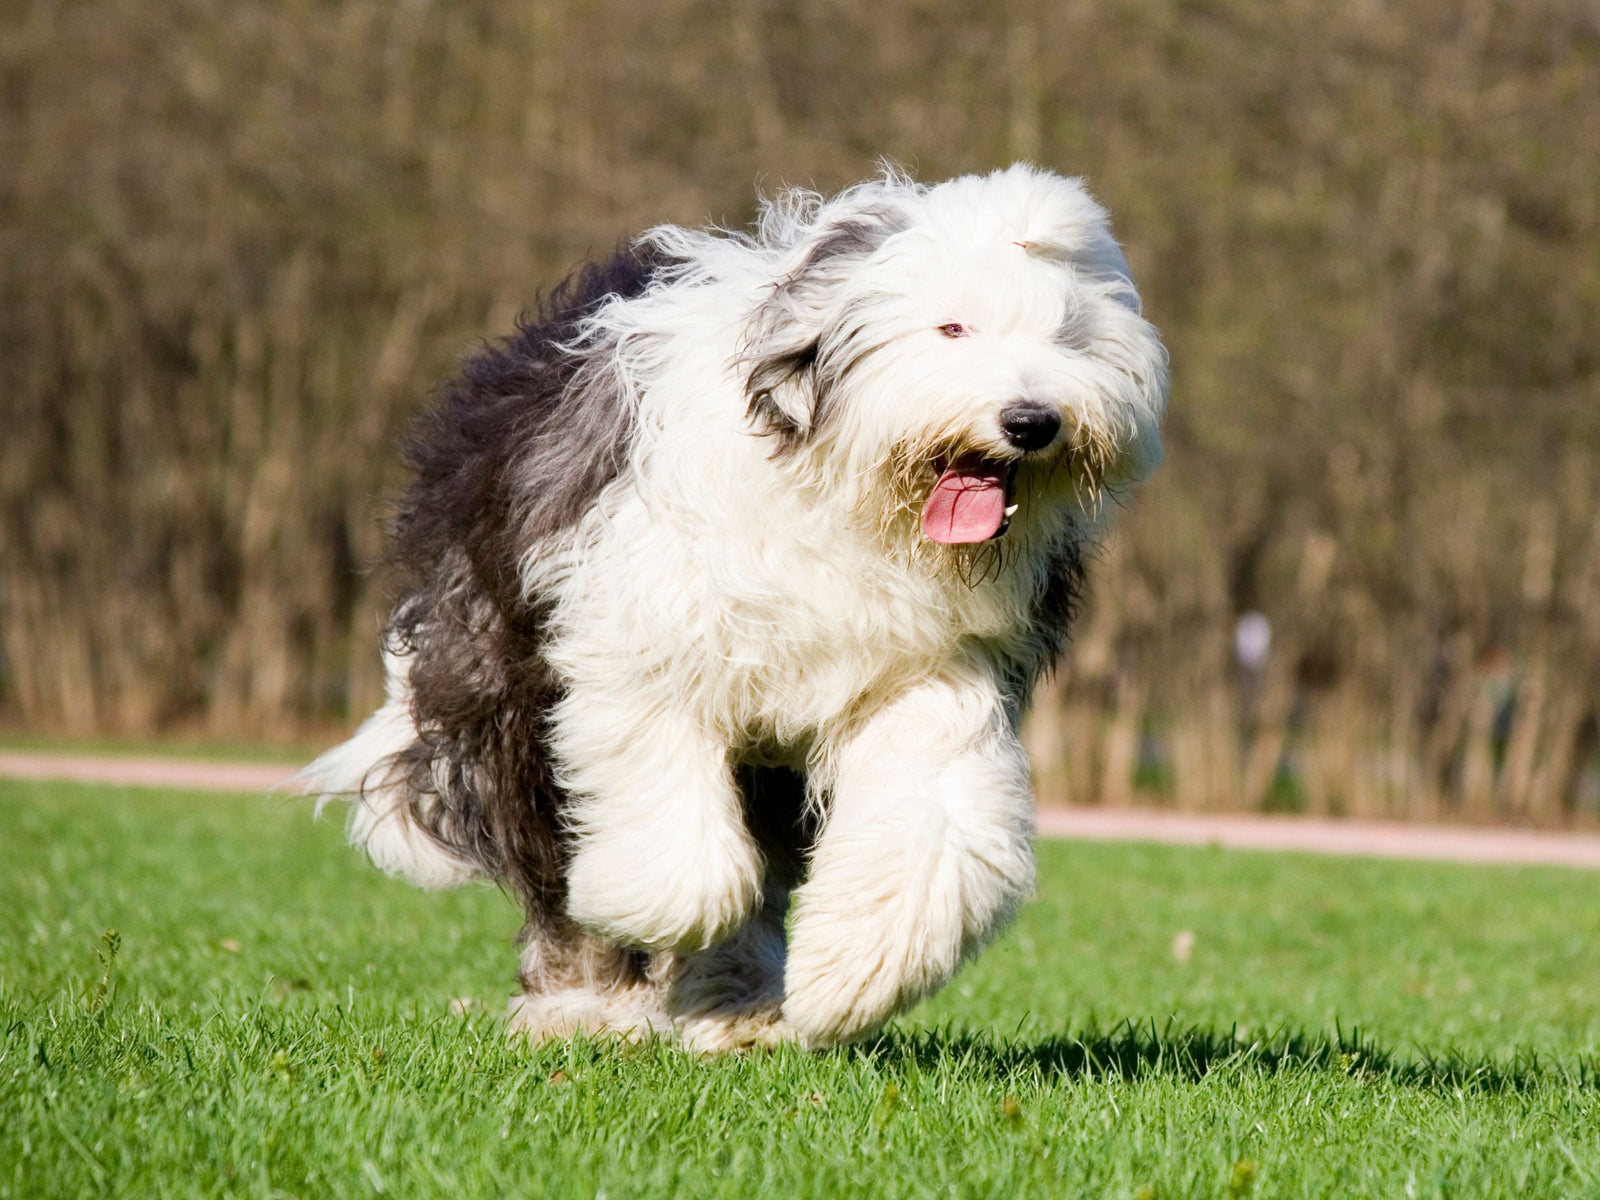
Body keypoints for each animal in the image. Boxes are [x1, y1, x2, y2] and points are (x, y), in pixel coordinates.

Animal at [302, 162, 1177, 1049]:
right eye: (952, 328)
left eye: (1070, 336)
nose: (1031, 421)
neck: (843, 498)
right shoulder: (645, 642)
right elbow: (676, 855)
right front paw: (654, 915)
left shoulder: (924, 671)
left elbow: (930, 826)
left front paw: (853, 975)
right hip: (505, 682)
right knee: (553, 859)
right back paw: (584, 1005)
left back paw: (739, 1008)